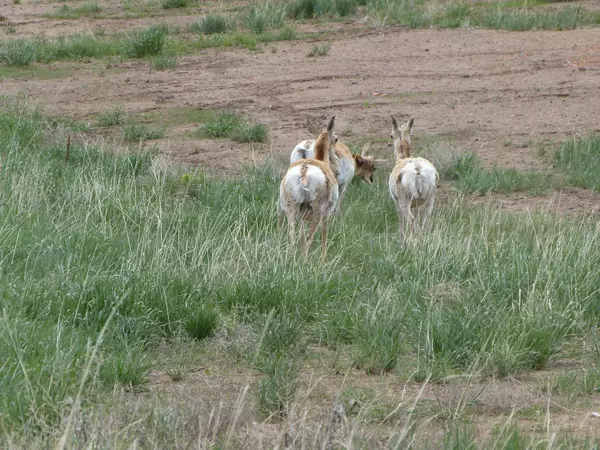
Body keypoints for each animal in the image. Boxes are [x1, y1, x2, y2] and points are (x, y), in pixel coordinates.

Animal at [278, 116, 340, 258]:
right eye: (336, 139)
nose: (337, 159)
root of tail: (304, 170)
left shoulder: (301, 215)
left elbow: (301, 236)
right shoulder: (326, 214)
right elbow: (324, 235)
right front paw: (323, 259)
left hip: (291, 208)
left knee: (293, 236)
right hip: (317, 211)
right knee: (309, 237)